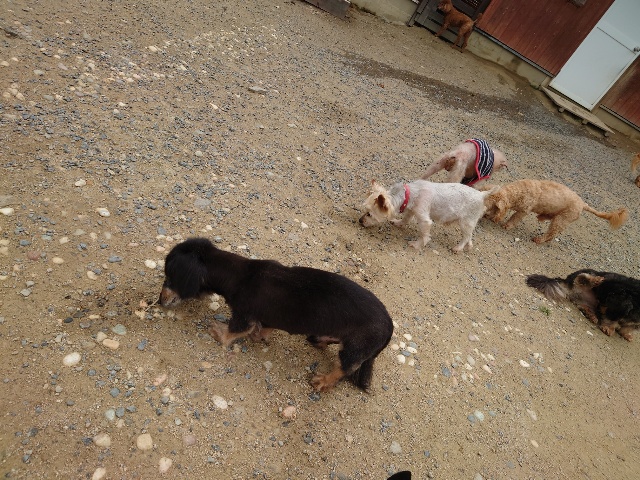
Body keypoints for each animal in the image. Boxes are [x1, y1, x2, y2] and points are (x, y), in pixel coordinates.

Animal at [159, 238, 394, 392]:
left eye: (169, 278)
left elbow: (232, 332)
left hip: (354, 348)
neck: (236, 275)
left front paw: (219, 333)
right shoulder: (267, 316)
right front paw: (259, 336)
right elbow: (265, 327)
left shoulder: (243, 315)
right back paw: (320, 340)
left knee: (345, 368)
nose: (159, 302)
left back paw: (324, 381)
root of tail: (390, 327)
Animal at [359, 179, 498, 252]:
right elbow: (405, 219)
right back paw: (468, 246)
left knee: (466, 236)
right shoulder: (411, 211)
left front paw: (416, 245)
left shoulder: (424, 219)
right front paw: (398, 223)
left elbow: (424, 235)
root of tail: (482, 195)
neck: (410, 194)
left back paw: (458, 248)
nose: (360, 221)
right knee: (470, 237)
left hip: (466, 222)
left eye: (369, 214)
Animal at [483, 179, 628, 243]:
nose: (483, 215)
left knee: (552, 233)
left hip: (562, 219)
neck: (518, 192)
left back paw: (539, 239)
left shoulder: (524, 210)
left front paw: (506, 226)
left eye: (487, 207)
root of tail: (583, 204)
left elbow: (514, 218)